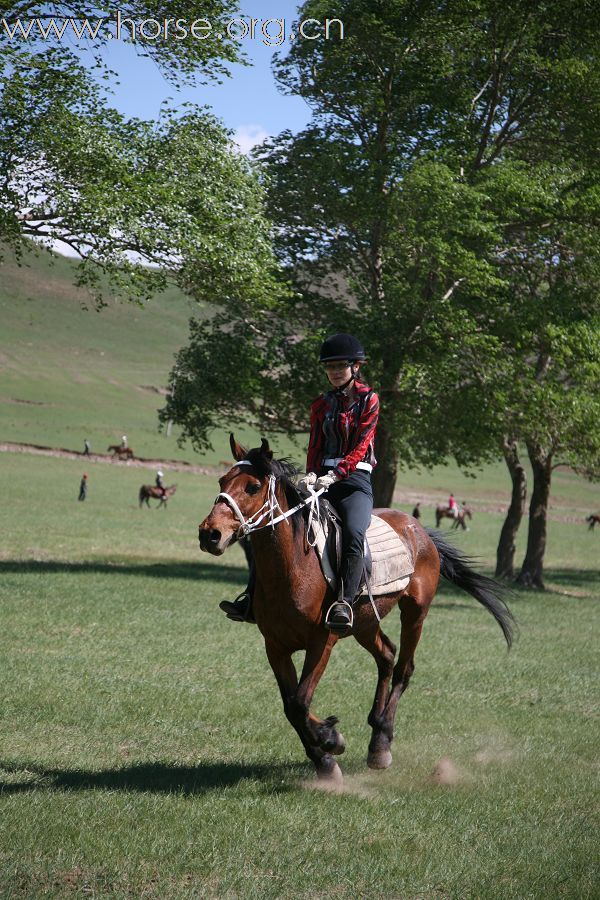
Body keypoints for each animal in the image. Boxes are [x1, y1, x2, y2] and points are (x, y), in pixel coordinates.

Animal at [199, 440, 512, 784]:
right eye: (222, 482)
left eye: (253, 487)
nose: (209, 534)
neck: (292, 568)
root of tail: (418, 528)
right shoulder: (276, 647)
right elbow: (291, 705)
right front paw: (325, 753)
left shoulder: (321, 643)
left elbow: (299, 702)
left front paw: (329, 742)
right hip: (364, 623)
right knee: (386, 655)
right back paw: (376, 738)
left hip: (415, 612)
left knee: (404, 668)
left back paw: (383, 741)